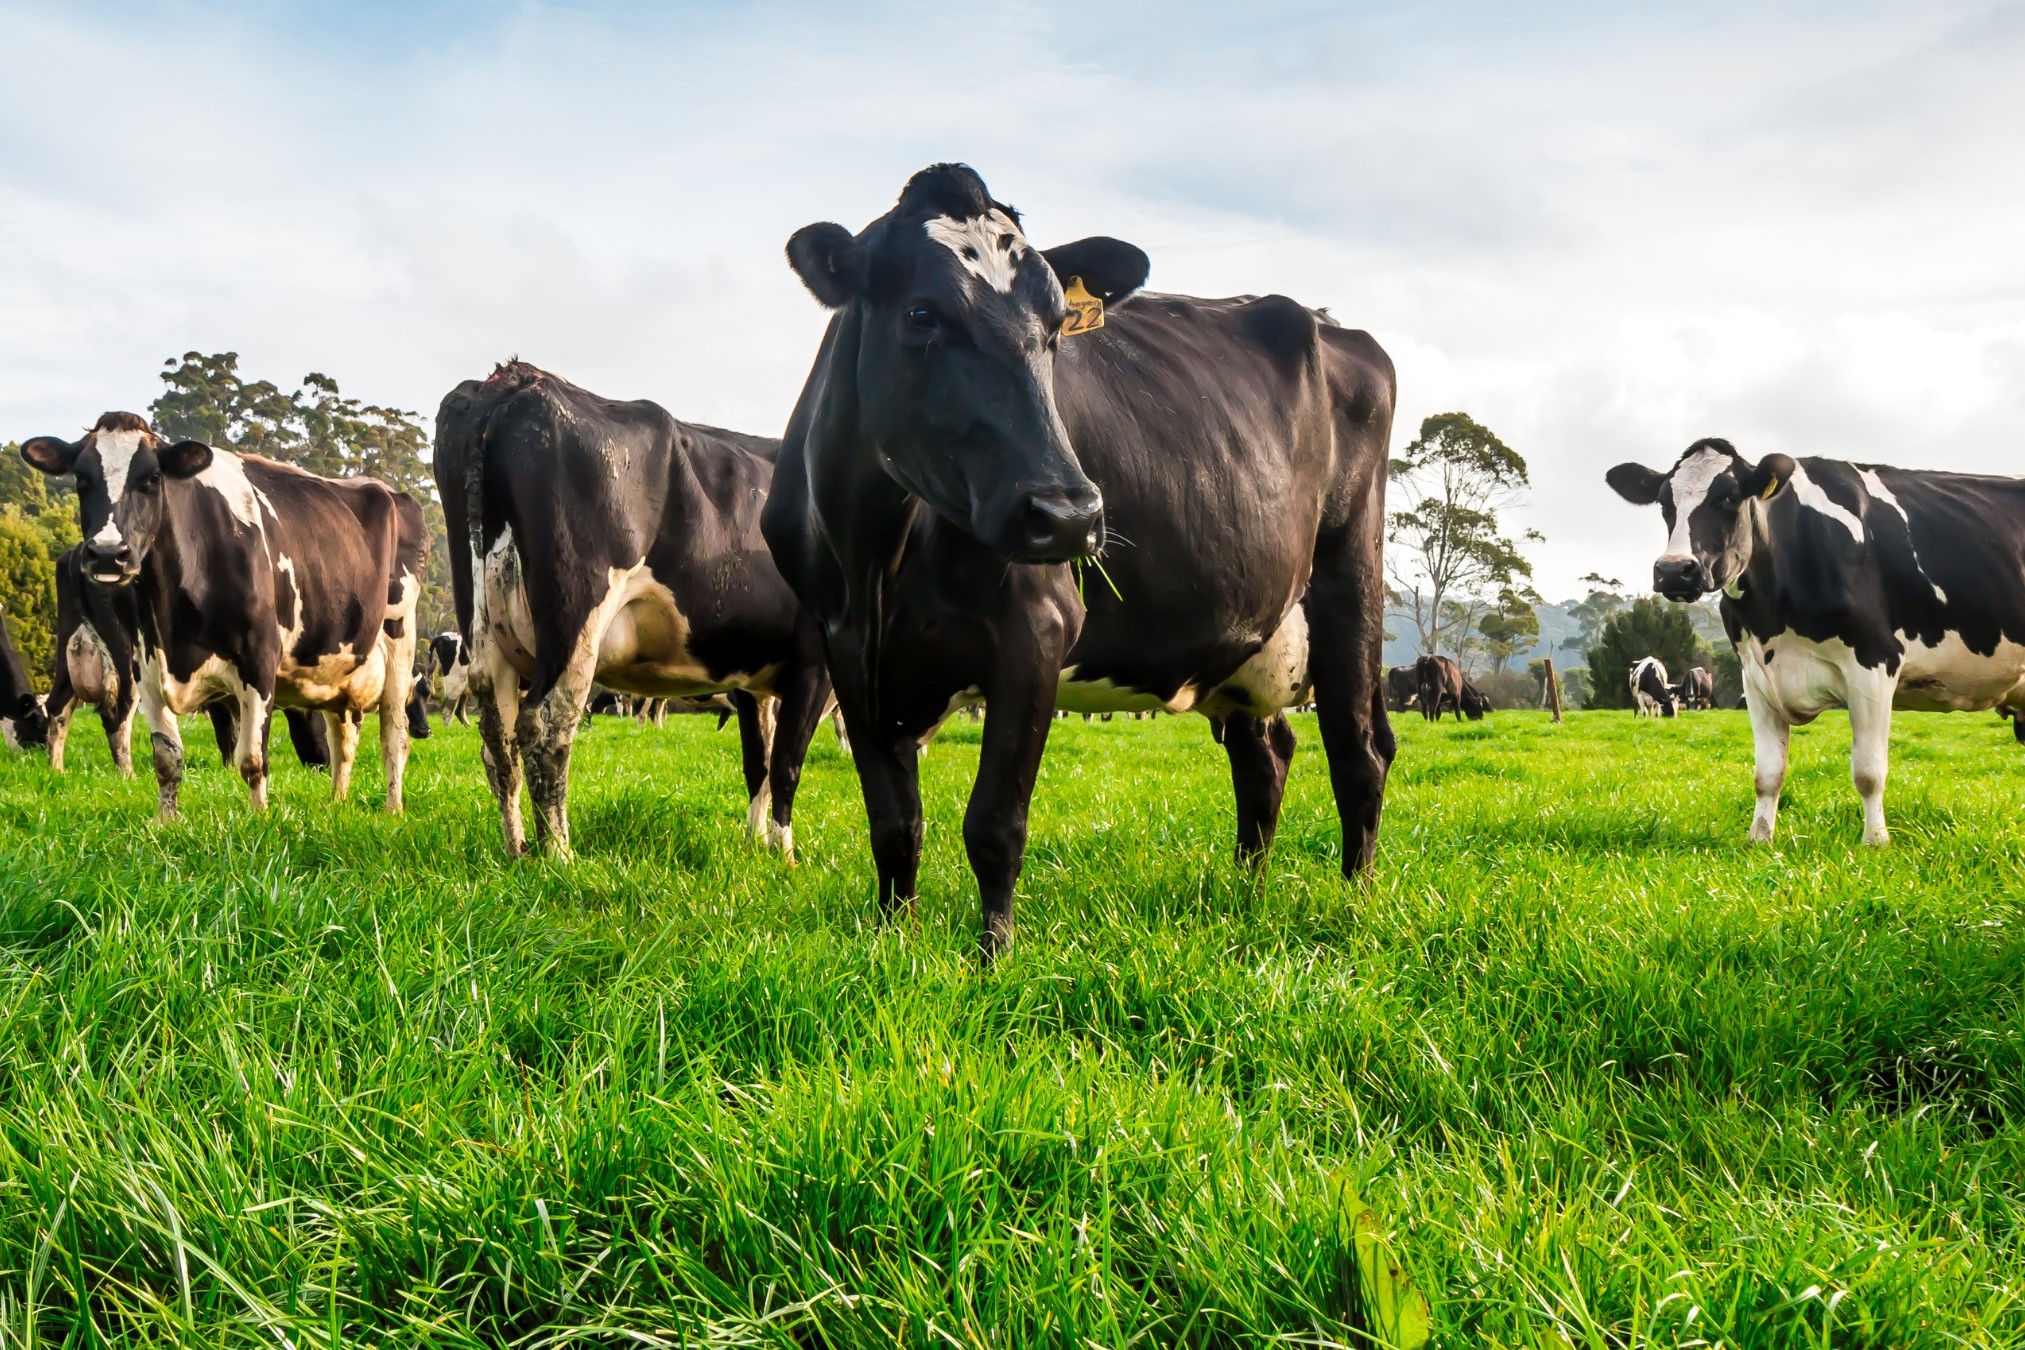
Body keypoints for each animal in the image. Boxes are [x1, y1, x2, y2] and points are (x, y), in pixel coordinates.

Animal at [18, 412, 431, 817]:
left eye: (152, 478)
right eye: (81, 478)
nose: (107, 554)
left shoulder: (259, 661)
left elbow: (252, 759)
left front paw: (259, 819)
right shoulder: (145, 666)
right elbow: (166, 759)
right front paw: (166, 823)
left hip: (400, 639)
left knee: (394, 735)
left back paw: (393, 808)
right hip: (339, 665)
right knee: (343, 739)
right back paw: (337, 803)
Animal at [433, 364, 830, 862]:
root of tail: (516, 379)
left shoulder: (752, 682)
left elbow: (758, 760)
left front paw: (755, 844)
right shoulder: (815, 665)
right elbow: (787, 764)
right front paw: (784, 855)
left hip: (487, 633)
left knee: (498, 741)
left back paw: (517, 847)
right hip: (575, 623)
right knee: (545, 726)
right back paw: (559, 855)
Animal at [765, 160, 1401, 959]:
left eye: (1055, 330)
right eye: (921, 314)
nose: (1069, 515)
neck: (873, 561)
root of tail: (1331, 323)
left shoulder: (1034, 631)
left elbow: (994, 824)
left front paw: (993, 960)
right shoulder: (847, 650)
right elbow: (894, 824)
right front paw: (894, 944)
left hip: (1353, 572)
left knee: (1359, 751)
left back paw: (1357, 905)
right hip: (1241, 631)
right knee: (1264, 756)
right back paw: (1245, 898)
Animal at [1611, 441, 2025, 846]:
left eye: (1729, 496)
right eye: (1664, 502)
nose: (1673, 570)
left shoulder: (1874, 663)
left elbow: (1869, 771)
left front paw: (1875, 842)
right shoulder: (1755, 678)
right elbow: (1767, 773)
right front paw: (1760, 839)